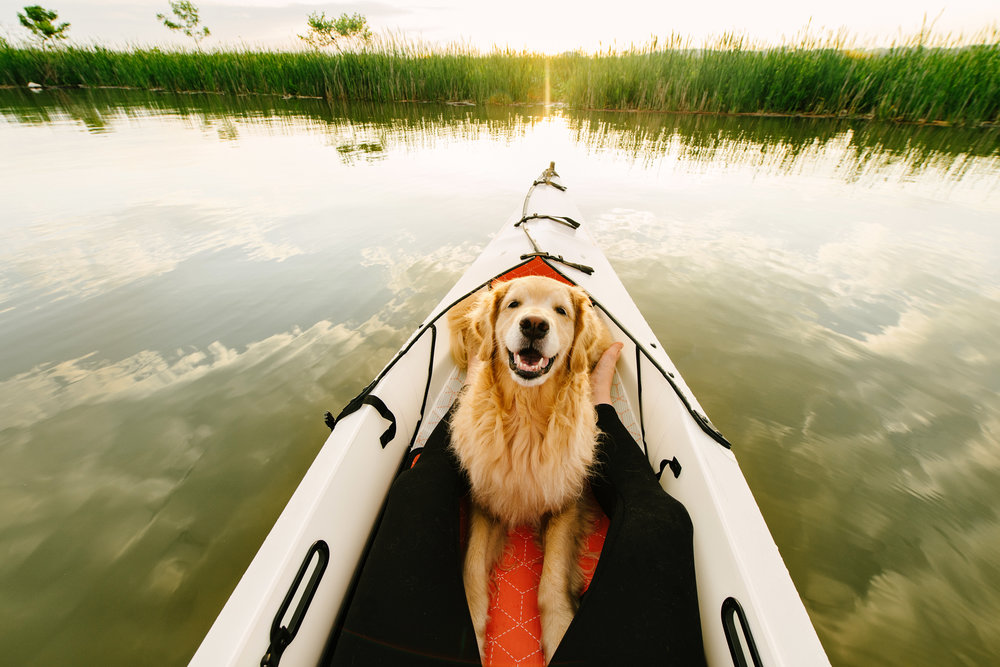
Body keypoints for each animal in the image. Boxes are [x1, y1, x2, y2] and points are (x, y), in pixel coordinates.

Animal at [452, 276, 608, 664]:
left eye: (561, 311)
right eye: (514, 304)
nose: (535, 325)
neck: (525, 415)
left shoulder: (567, 499)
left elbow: (551, 580)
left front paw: (560, 632)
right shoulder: (485, 498)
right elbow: (472, 571)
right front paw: (472, 631)